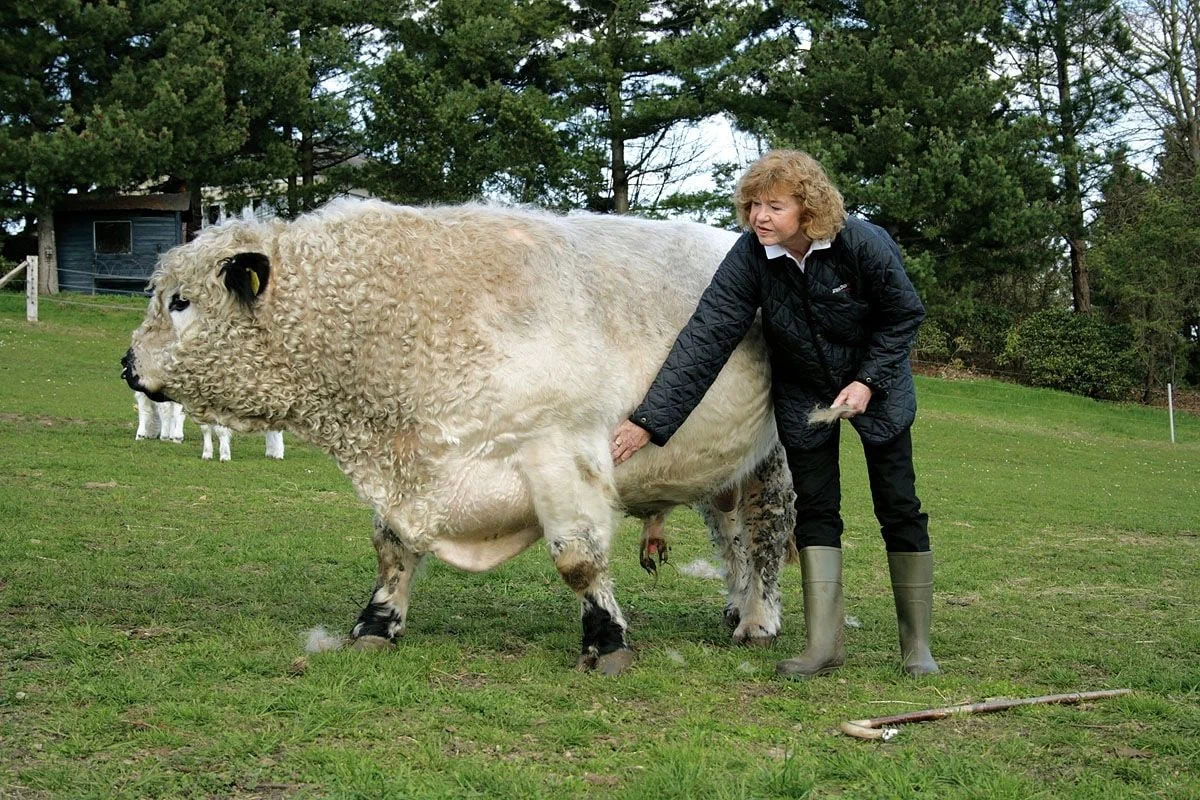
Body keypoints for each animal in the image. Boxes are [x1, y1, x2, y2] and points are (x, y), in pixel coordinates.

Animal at [124, 200, 796, 676]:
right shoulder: (412, 469)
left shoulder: (562, 449)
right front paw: (375, 625)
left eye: (181, 301)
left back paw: (759, 620)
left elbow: (577, 558)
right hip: (725, 468)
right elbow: (392, 548)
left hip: (773, 458)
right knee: (732, 535)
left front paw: (606, 641)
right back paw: (737, 607)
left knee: (765, 533)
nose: (128, 366)